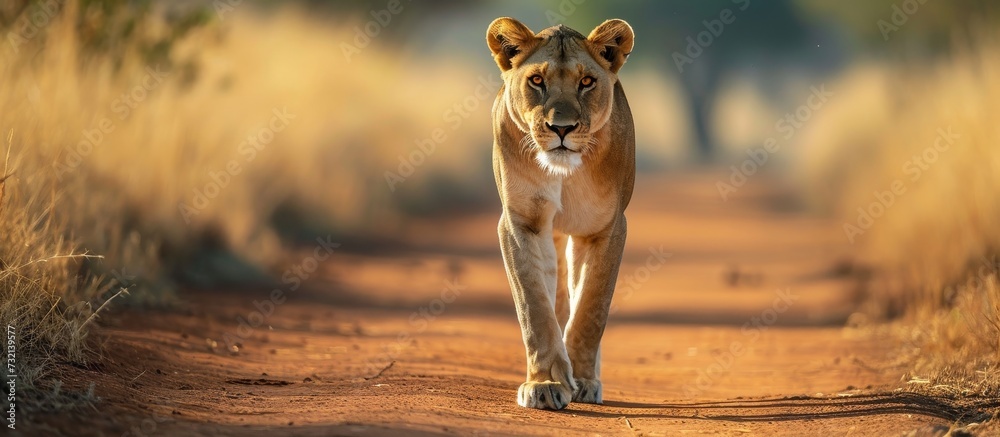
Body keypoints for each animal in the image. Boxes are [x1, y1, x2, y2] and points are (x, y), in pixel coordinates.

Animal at [486, 17, 636, 410]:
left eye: (587, 82)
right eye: (537, 80)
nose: (562, 128)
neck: (563, 173)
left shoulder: (605, 228)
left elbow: (591, 309)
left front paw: (583, 380)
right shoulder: (521, 223)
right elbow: (534, 306)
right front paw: (545, 383)